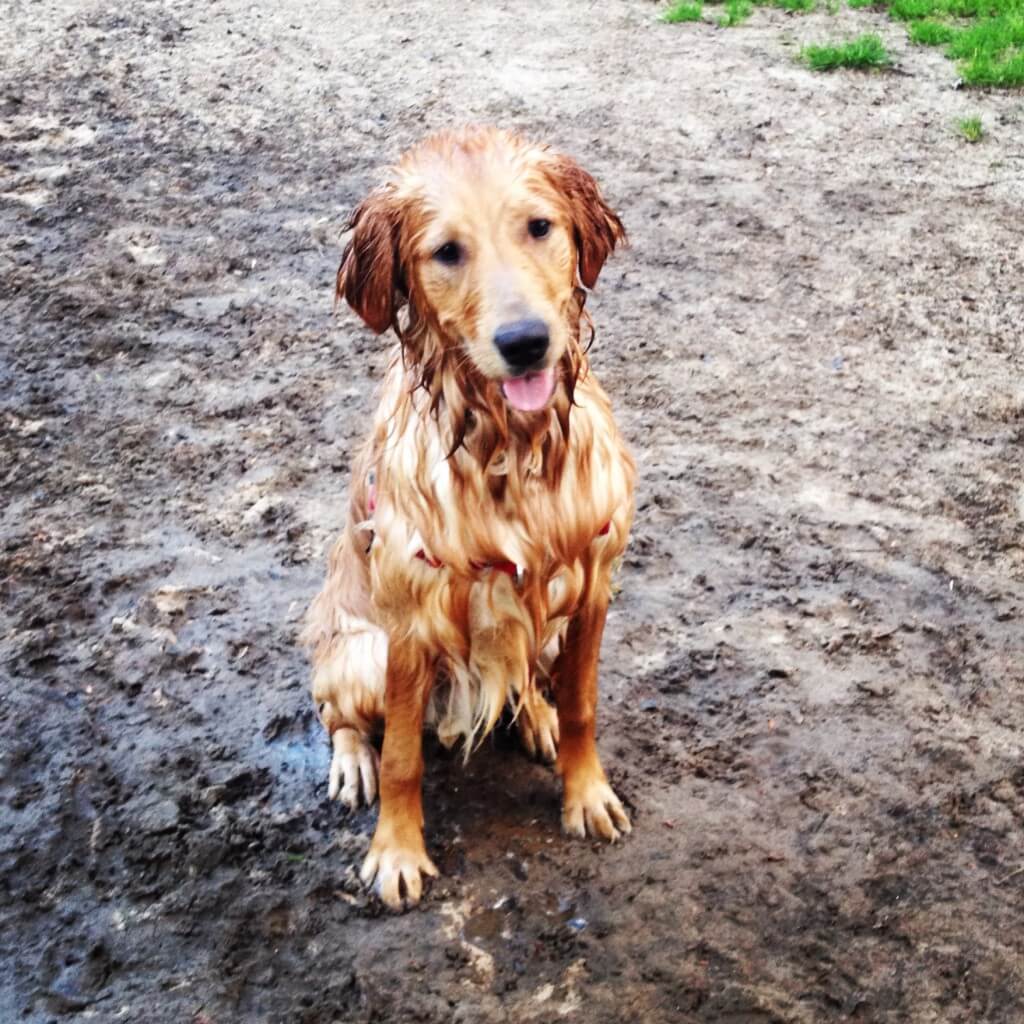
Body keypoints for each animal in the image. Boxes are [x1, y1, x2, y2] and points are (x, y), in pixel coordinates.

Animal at [305, 128, 630, 913]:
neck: (513, 448)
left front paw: (586, 793)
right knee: (338, 716)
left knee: (528, 678)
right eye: (447, 251)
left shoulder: (593, 583)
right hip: (357, 655)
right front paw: (397, 852)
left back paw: (535, 717)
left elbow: (582, 705)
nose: (525, 341)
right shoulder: (409, 625)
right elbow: (402, 757)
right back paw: (351, 763)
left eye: (539, 227)